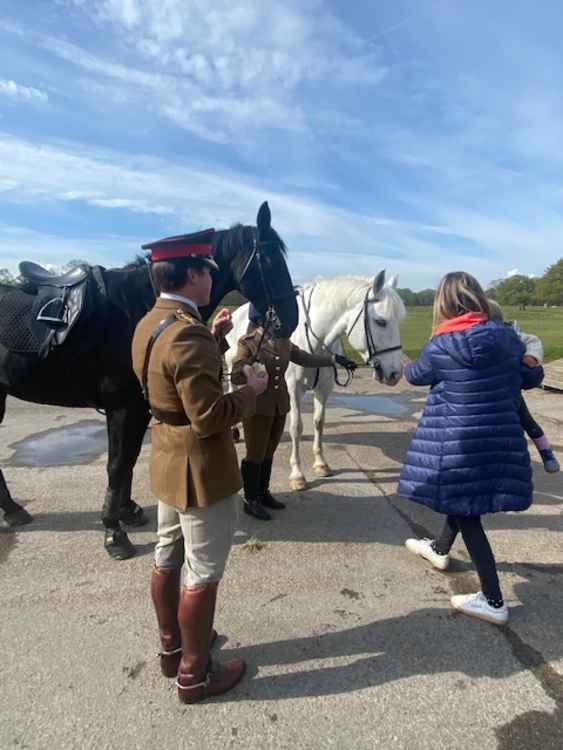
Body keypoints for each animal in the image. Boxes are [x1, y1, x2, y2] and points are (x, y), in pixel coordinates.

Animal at [0, 203, 300, 560]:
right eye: (270, 259)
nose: (291, 319)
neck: (137, 307)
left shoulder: (135, 409)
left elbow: (127, 463)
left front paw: (126, 512)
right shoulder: (124, 408)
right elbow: (118, 465)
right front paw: (114, 533)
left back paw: (13, 510)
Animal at [225, 270, 406, 494]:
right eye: (381, 321)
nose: (395, 374)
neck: (315, 340)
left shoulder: (323, 390)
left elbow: (319, 423)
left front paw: (321, 464)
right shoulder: (293, 390)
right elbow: (296, 427)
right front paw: (297, 475)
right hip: (233, 363)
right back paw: (235, 430)